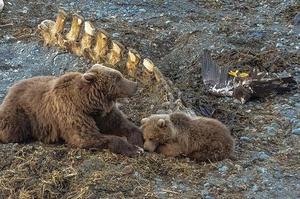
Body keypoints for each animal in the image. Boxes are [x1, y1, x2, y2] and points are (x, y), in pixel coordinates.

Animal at [0, 64, 144, 156]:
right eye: (117, 78)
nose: (135, 85)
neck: (88, 103)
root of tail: (11, 89)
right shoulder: (72, 111)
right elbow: (85, 136)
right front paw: (134, 149)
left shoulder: (103, 114)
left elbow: (119, 123)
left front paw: (138, 141)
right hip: (19, 113)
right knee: (11, 130)